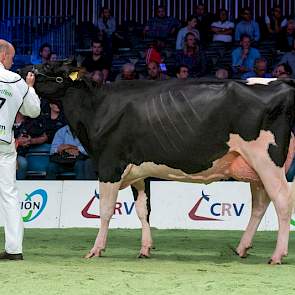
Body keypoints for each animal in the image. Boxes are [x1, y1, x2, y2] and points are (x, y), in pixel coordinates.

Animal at [26, 64, 295, 264]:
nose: (23, 69)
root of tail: (281, 83)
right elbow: (143, 209)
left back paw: (277, 255)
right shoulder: (138, 171)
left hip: (267, 160)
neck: (98, 108)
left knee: (283, 201)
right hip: (253, 168)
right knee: (260, 205)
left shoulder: (109, 166)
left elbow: (105, 210)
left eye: (53, 70)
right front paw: (145, 248)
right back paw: (242, 248)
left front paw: (96, 249)